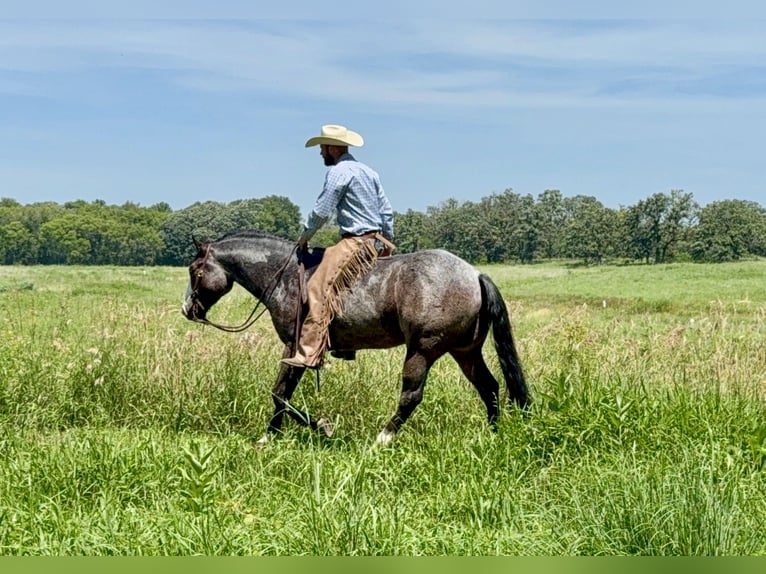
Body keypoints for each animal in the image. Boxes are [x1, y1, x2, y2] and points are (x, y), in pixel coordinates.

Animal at [181, 230, 528, 446]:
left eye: (195, 270)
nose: (187, 309)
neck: (285, 277)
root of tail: (474, 275)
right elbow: (282, 394)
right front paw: (271, 435)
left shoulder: (295, 347)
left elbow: (280, 394)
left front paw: (318, 427)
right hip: (465, 351)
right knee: (489, 387)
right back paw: (493, 433)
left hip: (422, 351)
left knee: (411, 397)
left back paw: (382, 439)